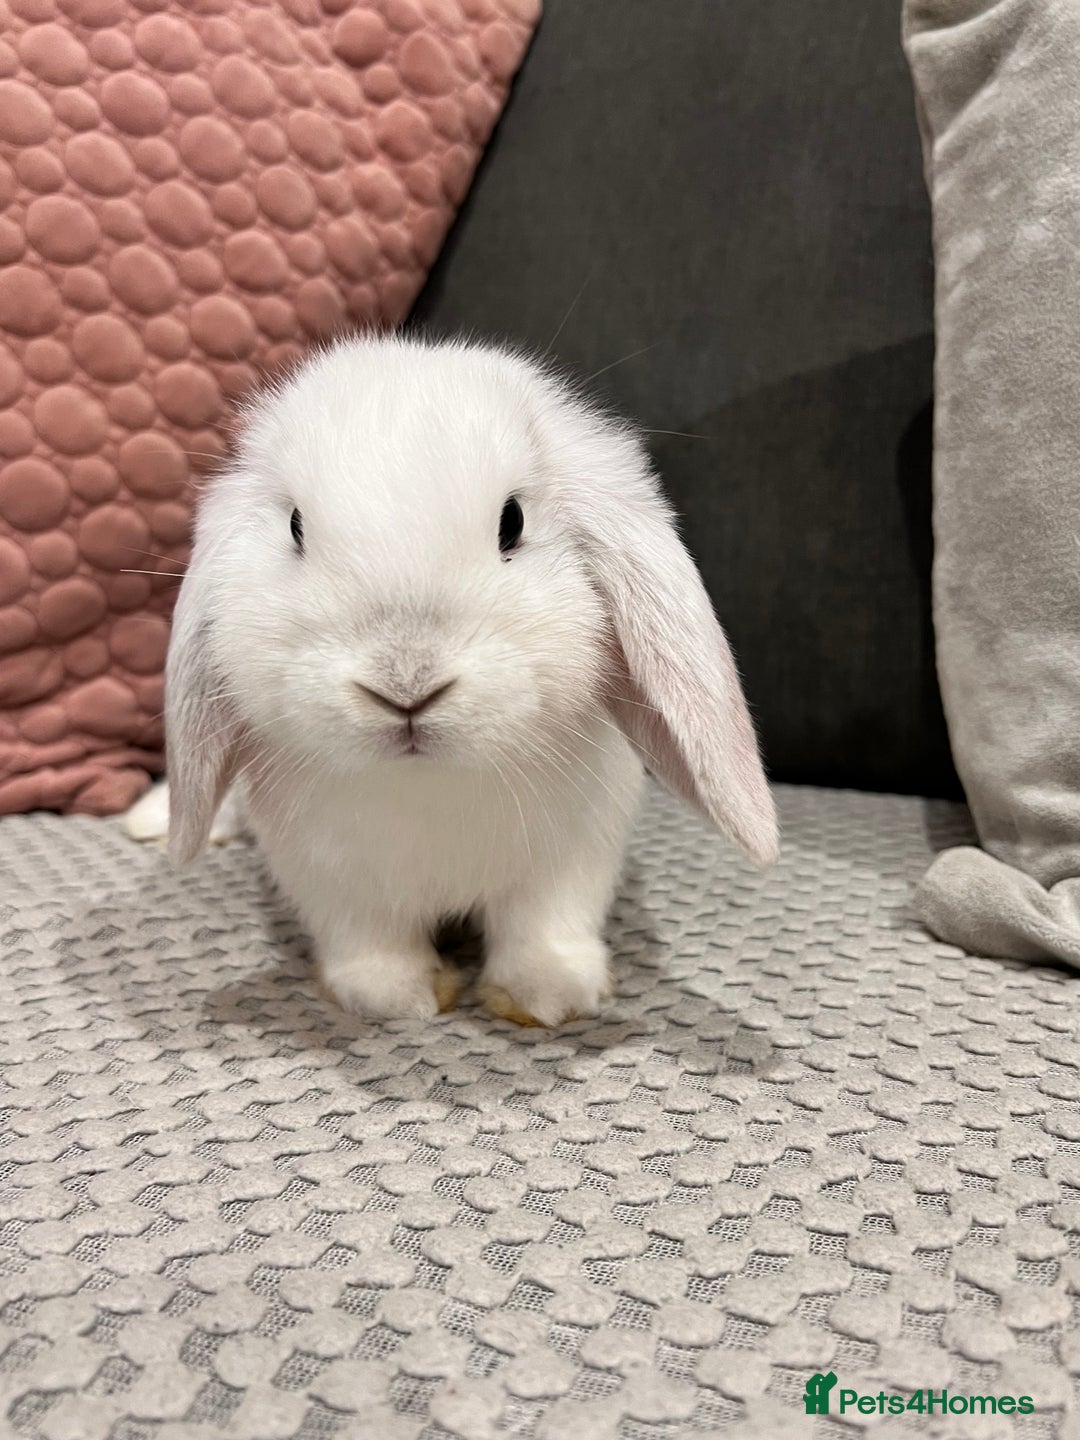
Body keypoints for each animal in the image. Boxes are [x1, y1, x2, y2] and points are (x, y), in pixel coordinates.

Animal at [132, 335, 778, 1026]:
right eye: (296, 528)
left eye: (512, 521)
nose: (405, 687)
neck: (429, 782)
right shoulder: (332, 879)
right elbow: (369, 941)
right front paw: (396, 997)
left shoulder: (571, 860)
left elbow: (543, 927)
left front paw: (550, 995)